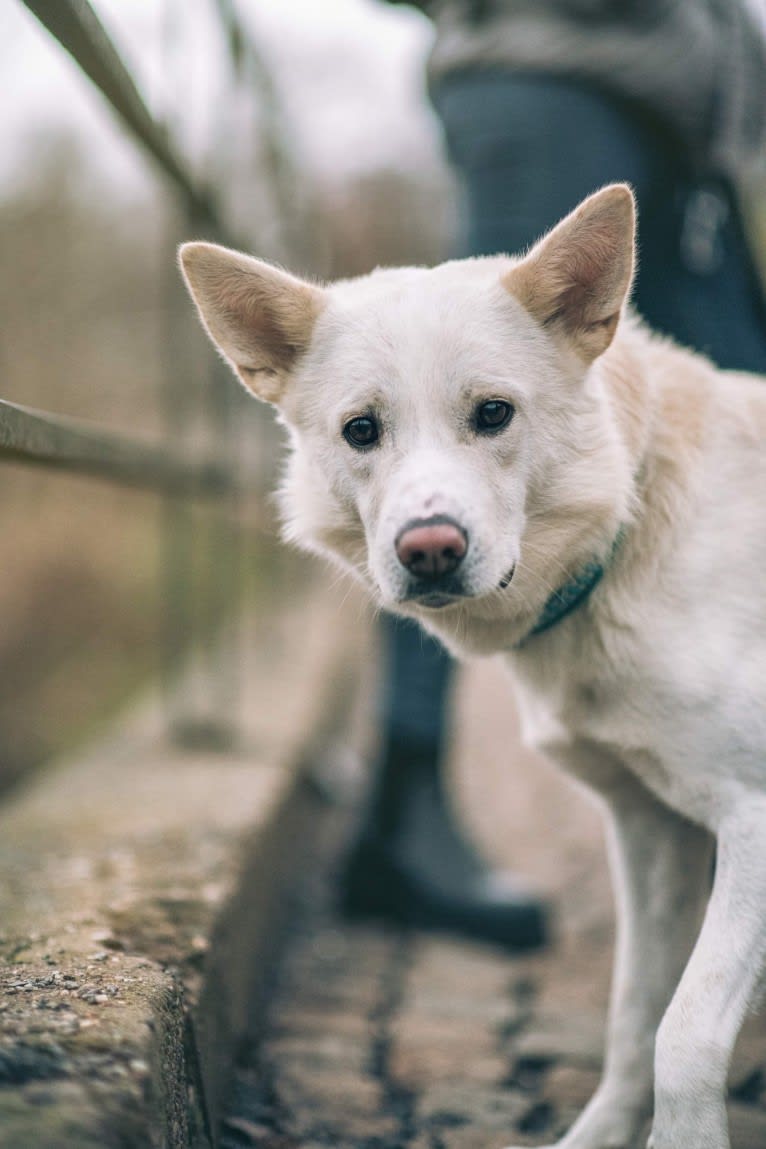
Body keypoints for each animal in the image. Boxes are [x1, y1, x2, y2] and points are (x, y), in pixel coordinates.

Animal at [181, 188, 766, 1149]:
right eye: (361, 430)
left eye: (494, 414)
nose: (429, 548)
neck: (631, 514)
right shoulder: (652, 830)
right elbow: (635, 1015)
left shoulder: (752, 822)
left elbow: (680, 1033)